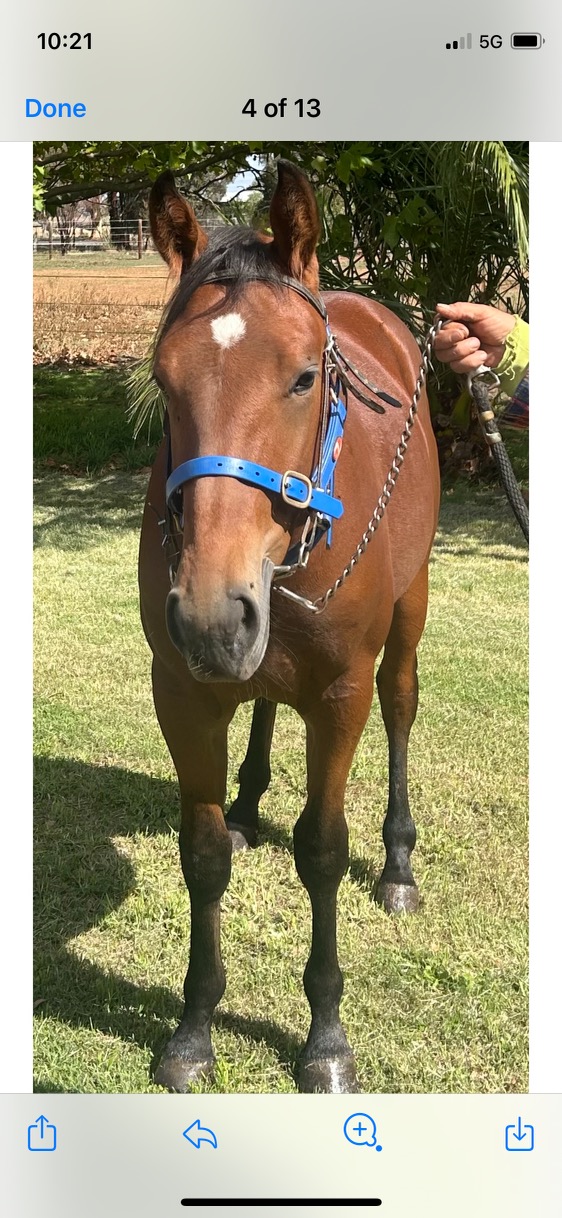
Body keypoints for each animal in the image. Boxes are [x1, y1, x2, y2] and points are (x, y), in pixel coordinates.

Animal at [138, 160, 440, 1093]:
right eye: (163, 378)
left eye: (305, 377)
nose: (210, 611)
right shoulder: (183, 691)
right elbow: (202, 854)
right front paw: (195, 1026)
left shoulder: (339, 694)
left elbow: (321, 851)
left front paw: (326, 1038)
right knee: (266, 697)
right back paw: (248, 798)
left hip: (409, 610)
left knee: (402, 706)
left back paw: (399, 862)